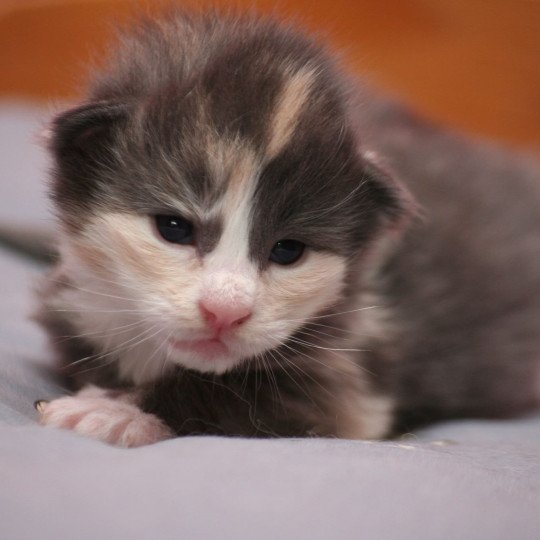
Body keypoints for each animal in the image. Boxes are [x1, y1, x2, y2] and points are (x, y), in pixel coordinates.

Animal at [35, 9, 540, 448]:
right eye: (174, 228)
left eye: (288, 250)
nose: (225, 313)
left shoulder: (352, 387)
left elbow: (230, 395)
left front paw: (118, 411)